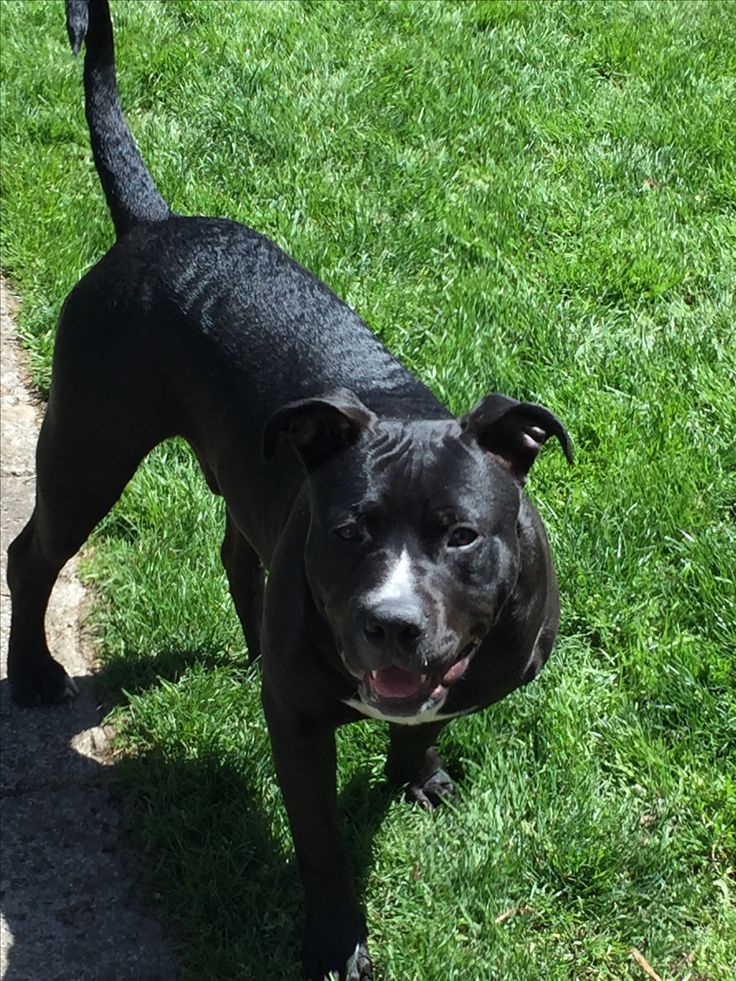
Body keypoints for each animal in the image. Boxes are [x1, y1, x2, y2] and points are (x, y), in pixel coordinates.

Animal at [7, 3, 576, 976]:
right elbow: (321, 844)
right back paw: (34, 671)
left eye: (461, 534)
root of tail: (149, 224)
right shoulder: (301, 726)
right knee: (31, 552)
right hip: (87, 446)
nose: (392, 623)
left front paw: (417, 775)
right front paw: (337, 942)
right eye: (351, 531)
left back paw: (246, 644)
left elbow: (421, 720)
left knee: (238, 550)